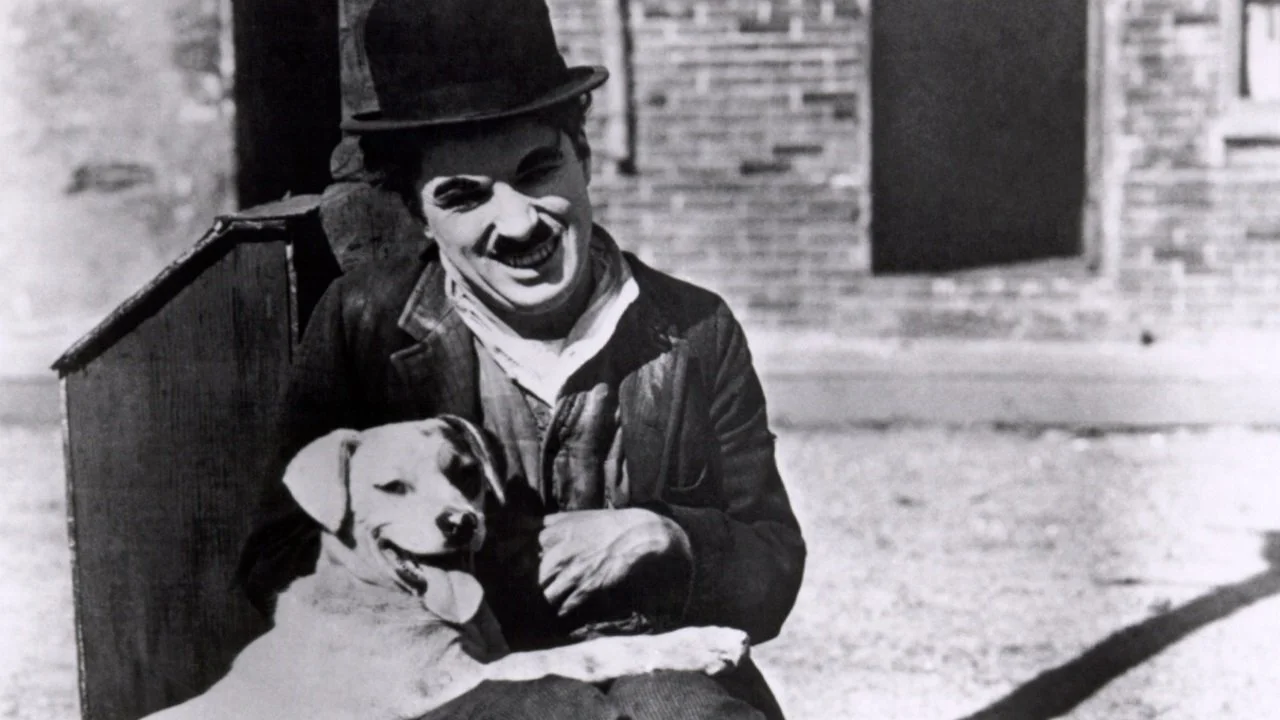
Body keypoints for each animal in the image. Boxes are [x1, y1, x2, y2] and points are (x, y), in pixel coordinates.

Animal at [143, 417, 749, 720]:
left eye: (465, 473)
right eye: (391, 487)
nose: (460, 523)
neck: (373, 594)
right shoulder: (451, 683)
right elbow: (580, 654)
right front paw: (699, 642)